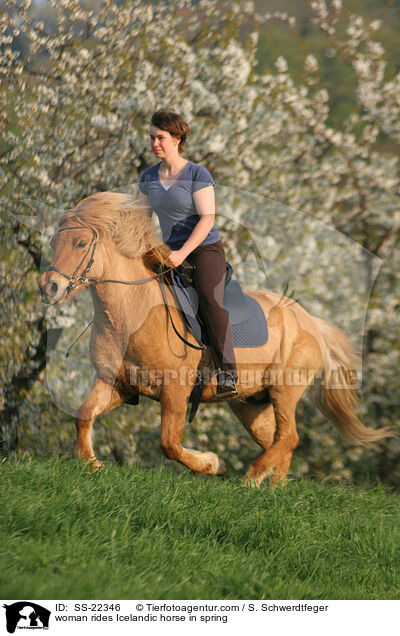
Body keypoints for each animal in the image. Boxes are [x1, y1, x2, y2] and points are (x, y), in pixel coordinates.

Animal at [39, 191, 390, 484]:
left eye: (80, 244)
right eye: (55, 244)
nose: (49, 288)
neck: (133, 315)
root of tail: (311, 321)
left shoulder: (175, 392)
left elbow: (169, 444)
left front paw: (213, 464)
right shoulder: (117, 384)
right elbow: (84, 416)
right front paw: (91, 464)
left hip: (285, 390)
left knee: (289, 438)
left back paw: (252, 477)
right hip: (250, 404)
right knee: (278, 441)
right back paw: (274, 488)